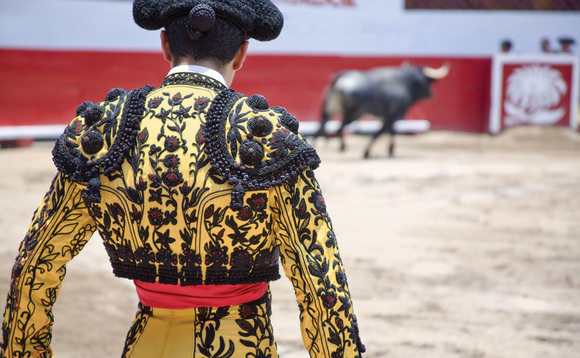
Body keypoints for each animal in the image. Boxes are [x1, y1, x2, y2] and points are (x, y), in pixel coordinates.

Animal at [314, 64, 450, 158]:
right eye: (424, 81)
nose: (431, 94)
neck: (405, 82)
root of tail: (339, 79)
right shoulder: (394, 115)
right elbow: (382, 132)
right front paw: (370, 152)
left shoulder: (387, 117)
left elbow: (388, 132)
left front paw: (389, 150)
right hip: (353, 114)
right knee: (339, 129)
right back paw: (342, 147)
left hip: (329, 110)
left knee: (321, 126)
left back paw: (319, 144)